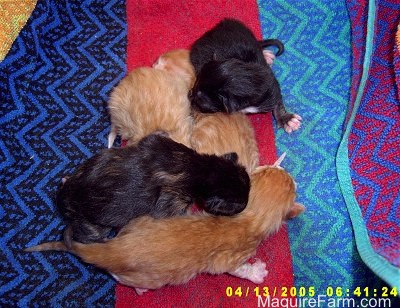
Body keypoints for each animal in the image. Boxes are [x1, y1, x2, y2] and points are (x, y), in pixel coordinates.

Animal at [25, 165, 306, 294]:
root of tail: (113, 249)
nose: (281, 167)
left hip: (141, 220)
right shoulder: (229, 258)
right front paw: (255, 273)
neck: (249, 218)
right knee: (118, 277)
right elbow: (234, 269)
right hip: (149, 278)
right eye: (289, 180)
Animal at [56, 134, 250, 244]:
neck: (200, 169)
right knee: (85, 234)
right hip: (94, 224)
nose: (247, 203)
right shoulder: (172, 202)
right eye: (239, 204)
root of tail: (66, 197)